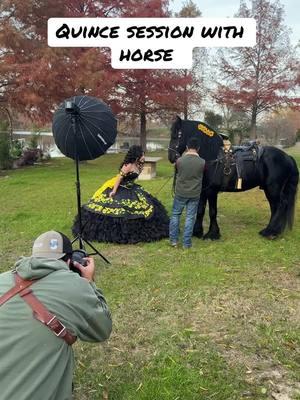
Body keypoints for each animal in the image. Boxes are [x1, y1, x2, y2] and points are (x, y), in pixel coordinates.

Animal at [168, 116, 298, 241]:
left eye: (177, 134)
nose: (171, 157)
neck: (214, 157)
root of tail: (287, 157)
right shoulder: (203, 190)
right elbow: (200, 210)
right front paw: (197, 232)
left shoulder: (212, 191)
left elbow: (212, 212)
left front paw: (212, 234)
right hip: (269, 189)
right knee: (275, 207)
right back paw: (274, 231)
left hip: (273, 189)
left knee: (281, 205)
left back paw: (270, 232)